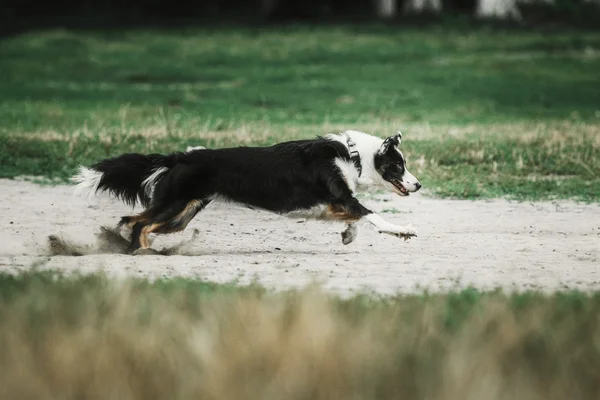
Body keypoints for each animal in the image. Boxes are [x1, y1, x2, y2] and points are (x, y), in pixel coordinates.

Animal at [71, 129, 422, 253]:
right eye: (398, 166)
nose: (418, 185)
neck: (354, 156)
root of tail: (179, 157)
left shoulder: (333, 204)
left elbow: (356, 218)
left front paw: (348, 235)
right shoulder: (339, 197)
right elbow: (372, 215)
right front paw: (403, 230)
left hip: (182, 213)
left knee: (132, 219)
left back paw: (128, 245)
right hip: (175, 205)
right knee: (140, 223)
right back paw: (141, 251)